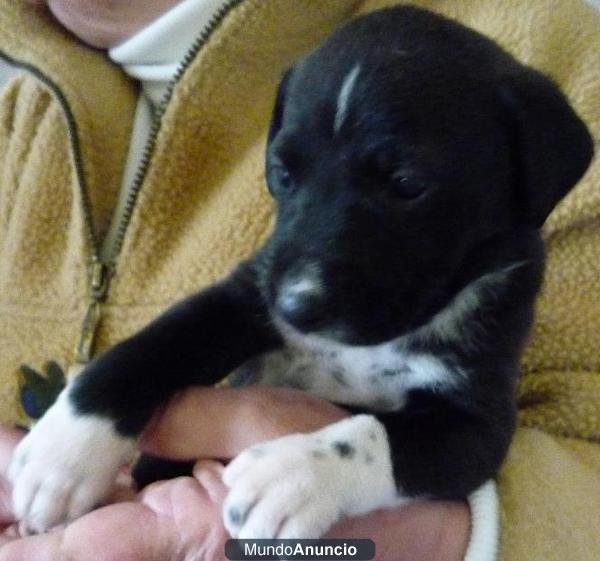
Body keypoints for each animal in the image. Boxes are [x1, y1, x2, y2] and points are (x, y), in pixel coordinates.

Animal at [8, 4, 592, 540]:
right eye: (282, 173)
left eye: (407, 183)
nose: (294, 307)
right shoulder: (243, 296)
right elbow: (153, 344)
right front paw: (62, 453)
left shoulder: (477, 421)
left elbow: (378, 439)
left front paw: (293, 476)